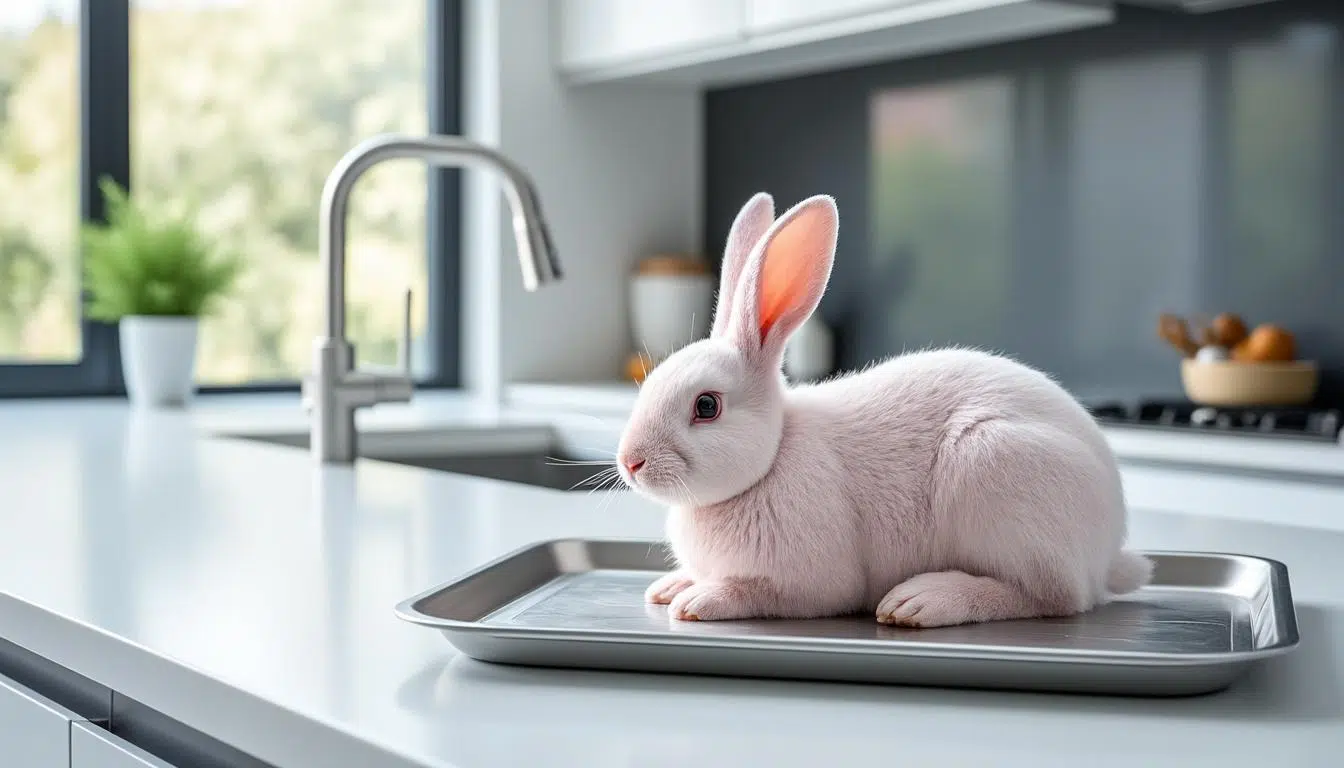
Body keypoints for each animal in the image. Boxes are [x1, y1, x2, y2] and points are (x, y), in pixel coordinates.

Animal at [615, 192, 1153, 628]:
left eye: (706, 406)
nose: (630, 462)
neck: (771, 459)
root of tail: (1107, 548)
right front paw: (671, 587)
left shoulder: (810, 583)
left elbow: (757, 591)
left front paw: (700, 600)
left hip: (992, 464)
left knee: (1053, 597)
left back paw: (920, 602)